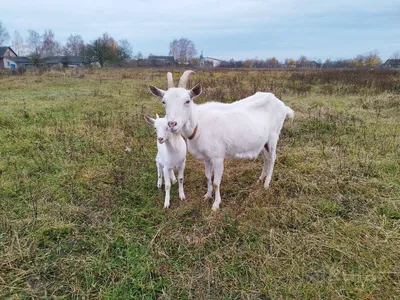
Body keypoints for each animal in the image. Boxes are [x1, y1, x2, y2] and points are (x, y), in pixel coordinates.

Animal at [148, 71, 292, 210]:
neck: (199, 124)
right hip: (264, 142)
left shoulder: (217, 157)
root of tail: (282, 105)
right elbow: (207, 177)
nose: (172, 124)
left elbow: (217, 182)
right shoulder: (206, 158)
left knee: (272, 158)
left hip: (274, 137)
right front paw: (207, 196)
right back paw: (260, 179)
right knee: (266, 158)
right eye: (164, 102)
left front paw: (216, 204)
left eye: (187, 101)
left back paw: (266, 183)